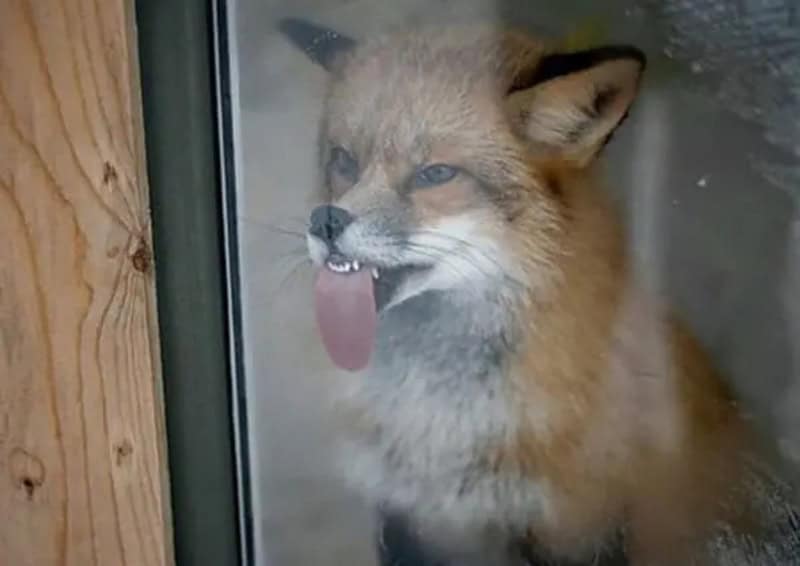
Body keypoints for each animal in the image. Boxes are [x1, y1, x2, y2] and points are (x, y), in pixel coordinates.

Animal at [278, 18, 799, 566]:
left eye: (436, 174)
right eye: (344, 161)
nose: (325, 222)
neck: (444, 418)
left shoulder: (575, 529)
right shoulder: (403, 518)